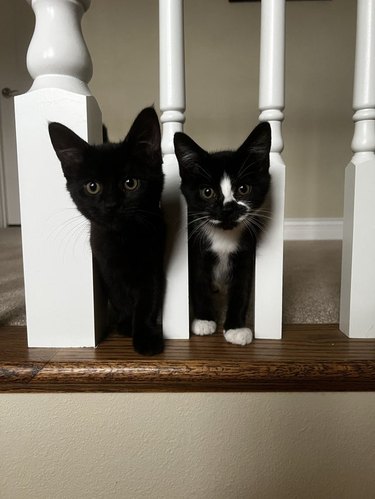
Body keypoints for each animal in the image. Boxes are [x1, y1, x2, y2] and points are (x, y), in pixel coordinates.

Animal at [48, 106, 164, 356]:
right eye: (93, 187)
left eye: (130, 183)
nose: (111, 205)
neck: (123, 240)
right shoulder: (104, 265)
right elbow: (118, 296)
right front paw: (126, 323)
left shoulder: (152, 263)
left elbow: (148, 300)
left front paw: (146, 336)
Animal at [175, 122, 272, 348]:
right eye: (207, 192)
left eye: (243, 189)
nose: (227, 208)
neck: (223, 237)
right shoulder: (196, 250)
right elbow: (198, 282)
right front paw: (204, 320)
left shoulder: (246, 253)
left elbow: (242, 289)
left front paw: (236, 328)